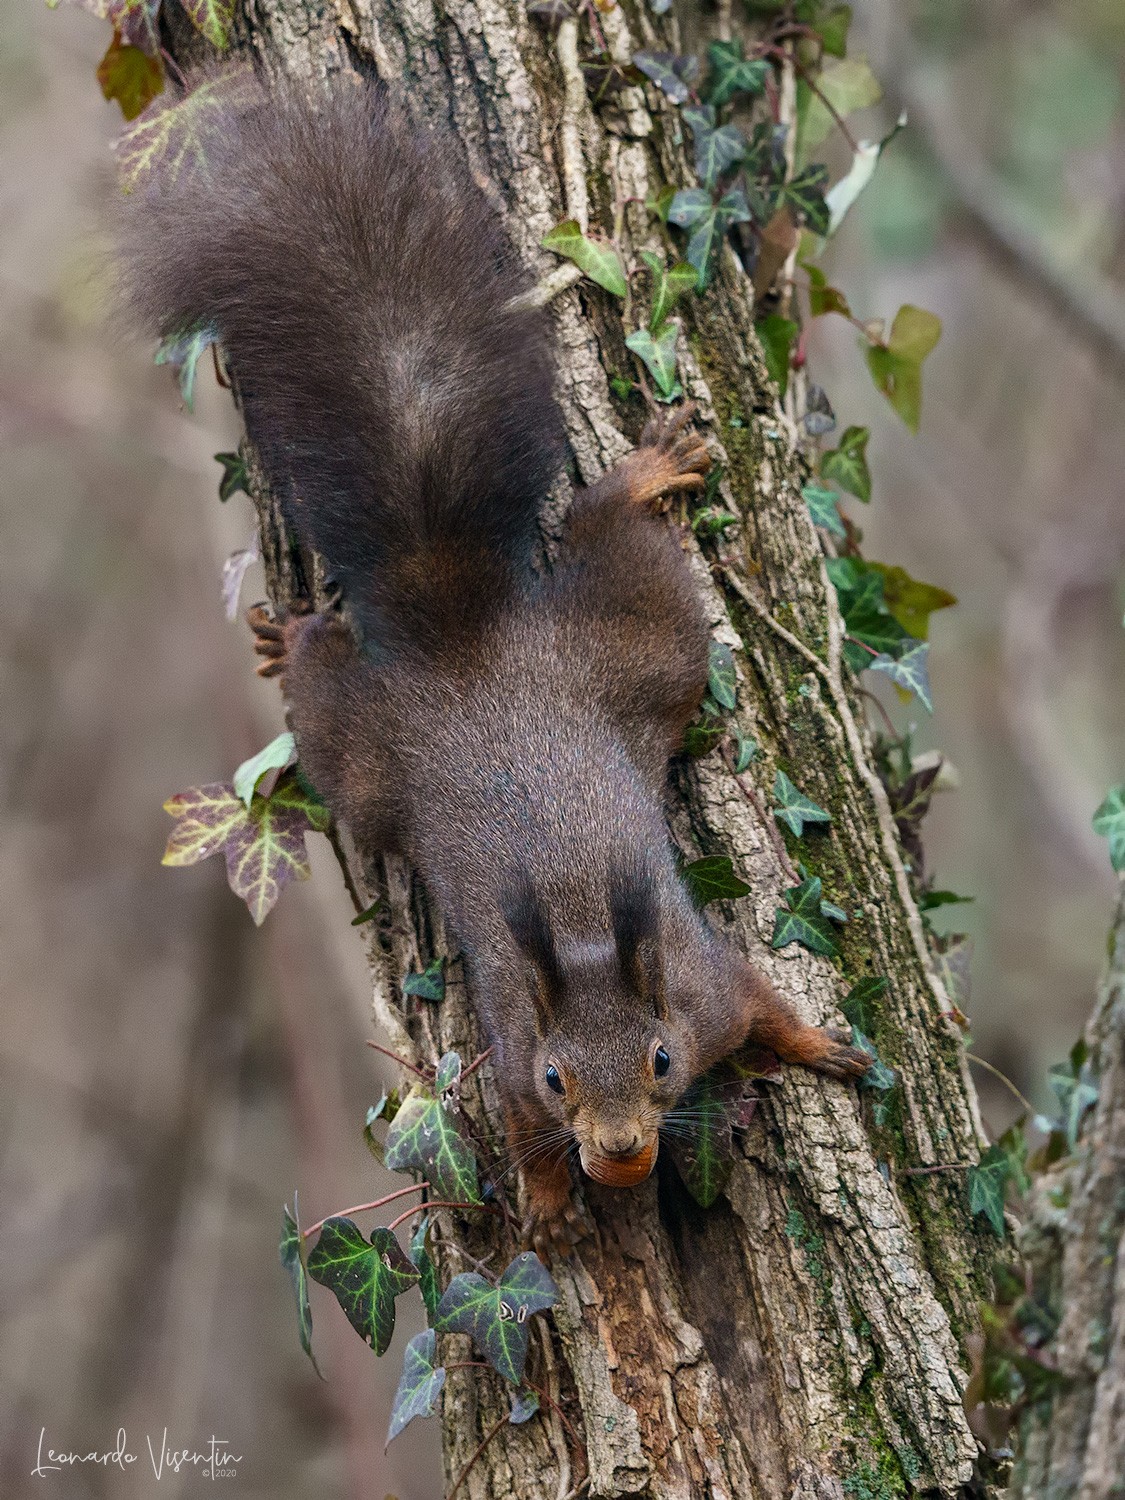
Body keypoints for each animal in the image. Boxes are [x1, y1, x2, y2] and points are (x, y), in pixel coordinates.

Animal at [119, 76, 871, 1257]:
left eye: (662, 1060)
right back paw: (299, 639)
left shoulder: (707, 987)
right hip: (375, 764)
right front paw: (557, 1203)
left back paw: (642, 472)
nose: (622, 1151)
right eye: (562, 1081)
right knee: (338, 720)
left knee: (621, 546)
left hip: (642, 650)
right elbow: (518, 1133)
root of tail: (463, 638)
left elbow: (765, 1003)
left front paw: (818, 1048)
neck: (593, 945)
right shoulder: (511, 1060)